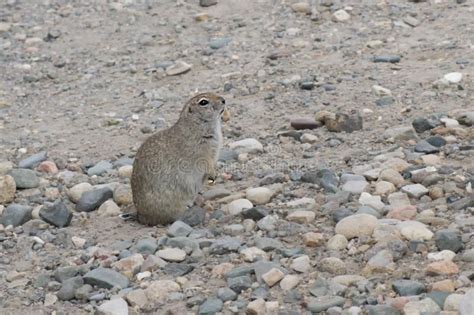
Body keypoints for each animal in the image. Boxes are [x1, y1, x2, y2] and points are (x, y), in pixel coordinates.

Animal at [131, 92, 230, 226]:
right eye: (203, 102)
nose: (223, 100)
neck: (196, 124)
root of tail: (141, 216)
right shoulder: (200, 153)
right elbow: (206, 163)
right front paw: (213, 174)